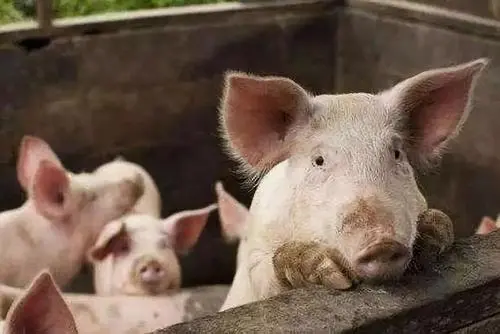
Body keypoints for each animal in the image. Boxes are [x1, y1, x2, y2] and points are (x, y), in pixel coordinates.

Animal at [217, 58, 486, 310]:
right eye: (319, 160)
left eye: (396, 153)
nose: (382, 243)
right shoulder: (256, 259)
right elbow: (266, 276)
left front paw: (430, 236)